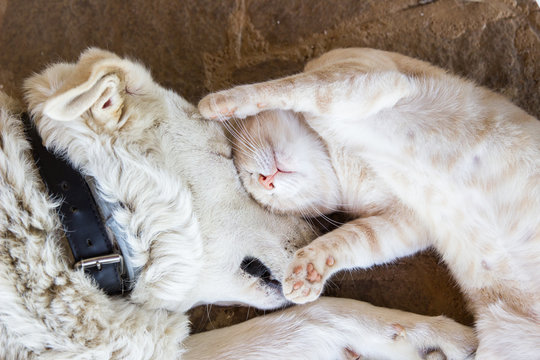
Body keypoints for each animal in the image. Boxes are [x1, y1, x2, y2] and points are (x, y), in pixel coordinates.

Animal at [198, 47, 540, 360]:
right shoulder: (405, 223)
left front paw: (219, 104)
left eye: (245, 171)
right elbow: (353, 240)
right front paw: (308, 272)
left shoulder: (361, 77)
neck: (344, 157)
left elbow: (290, 88)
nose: (263, 181)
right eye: (262, 194)